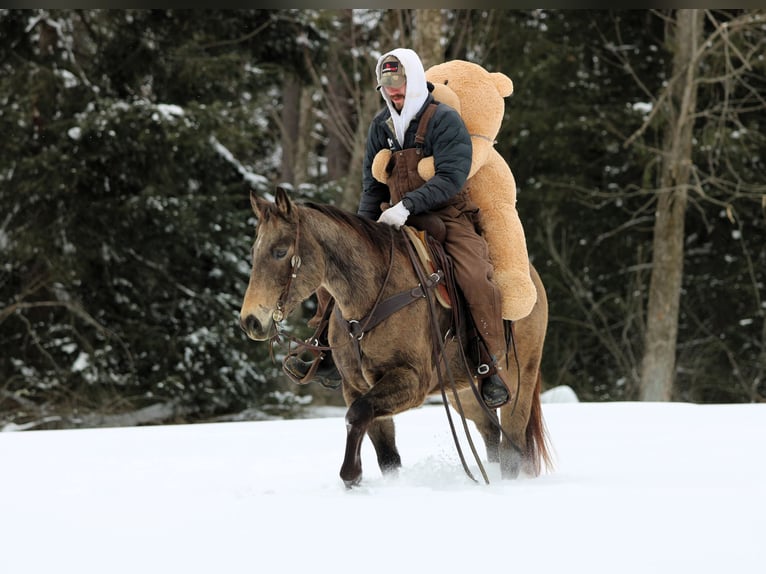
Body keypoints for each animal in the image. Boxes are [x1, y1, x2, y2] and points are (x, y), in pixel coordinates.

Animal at [239, 187, 552, 487]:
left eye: (280, 251)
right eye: (255, 252)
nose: (251, 321)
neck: (373, 296)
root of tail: (534, 278)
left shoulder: (410, 381)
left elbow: (357, 414)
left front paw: (350, 473)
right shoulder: (357, 386)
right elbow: (383, 450)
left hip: (518, 384)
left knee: (512, 447)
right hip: (466, 392)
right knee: (491, 437)